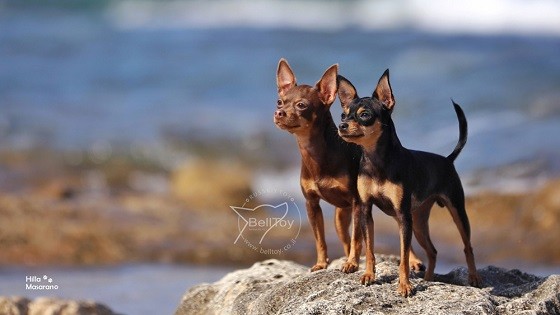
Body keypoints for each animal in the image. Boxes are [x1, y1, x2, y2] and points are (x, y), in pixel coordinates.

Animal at [274, 59, 422, 274]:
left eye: (301, 105)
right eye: (279, 102)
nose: (278, 112)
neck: (316, 154)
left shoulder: (357, 203)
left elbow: (357, 238)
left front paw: (352, 263)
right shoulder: (312, 204)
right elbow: (320, 239)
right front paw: (322, 263)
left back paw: (413, 260)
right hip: (340, 218)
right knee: (346, 239)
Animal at [336, 70, 482, 298]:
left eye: (365, 115)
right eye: (343, 115)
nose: (341, 126)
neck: (377, 162)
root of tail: (447, 160)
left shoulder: (403, 216)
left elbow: (403, 257)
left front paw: (404, 285)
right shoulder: (367, 210)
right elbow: (369, 248)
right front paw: (369, 275)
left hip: (455, 211)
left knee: (467, 246)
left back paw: (474, 277)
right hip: (419, 221)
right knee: (432, 251)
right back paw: (429, 279)